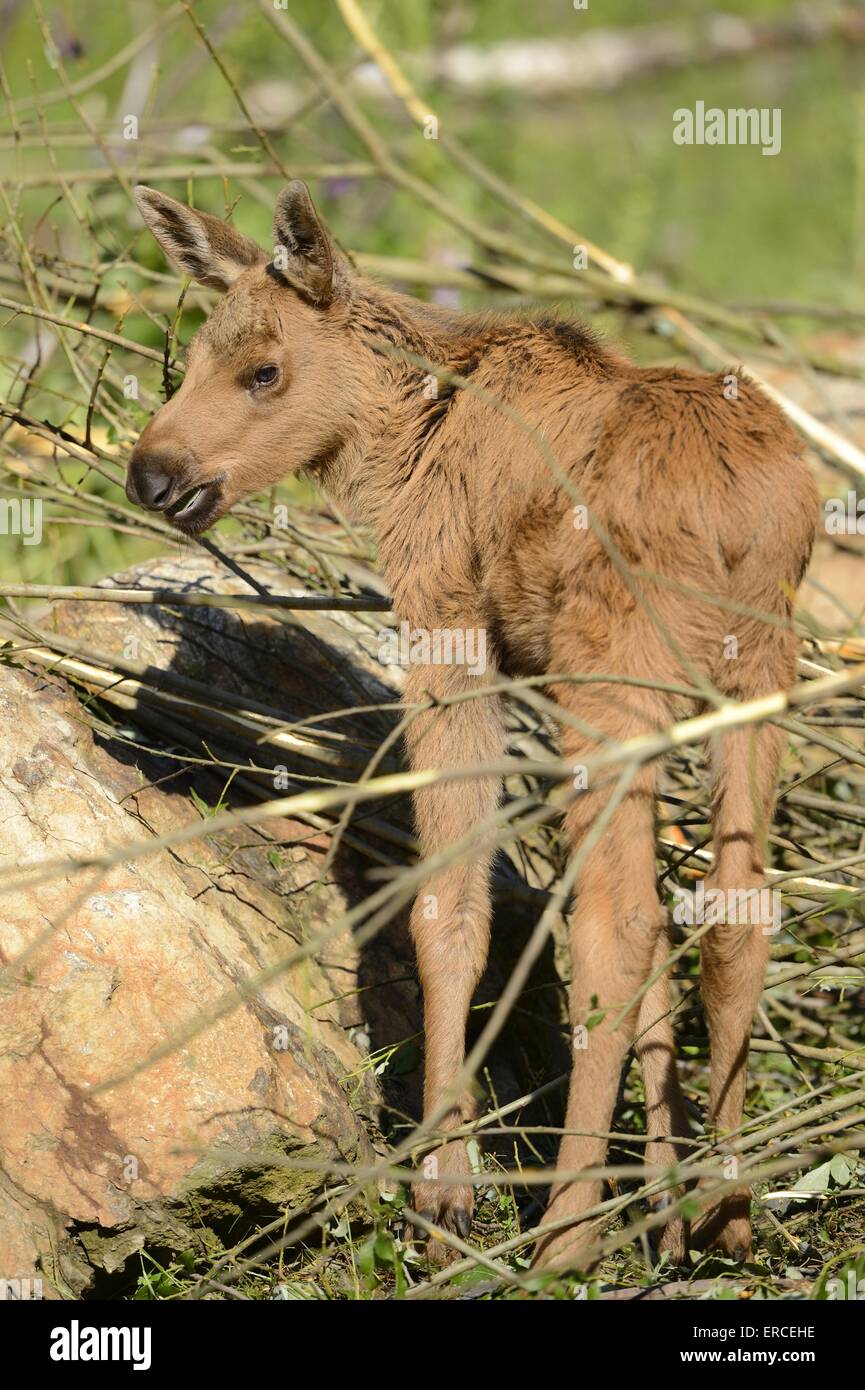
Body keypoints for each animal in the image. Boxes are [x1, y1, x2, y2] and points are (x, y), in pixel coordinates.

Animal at [128, 181, 817, 1270]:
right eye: (191, 354)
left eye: (263, 370)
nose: (149, 476)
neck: (399, 438)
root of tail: (750, 518)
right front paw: (661, 1216)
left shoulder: (446, 626)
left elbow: (446, 907)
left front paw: (444, 1196)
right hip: (757, 667)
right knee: (732, 913)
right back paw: (723, 1213)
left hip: (610, 675)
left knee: (617, 925)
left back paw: (566, 1235)